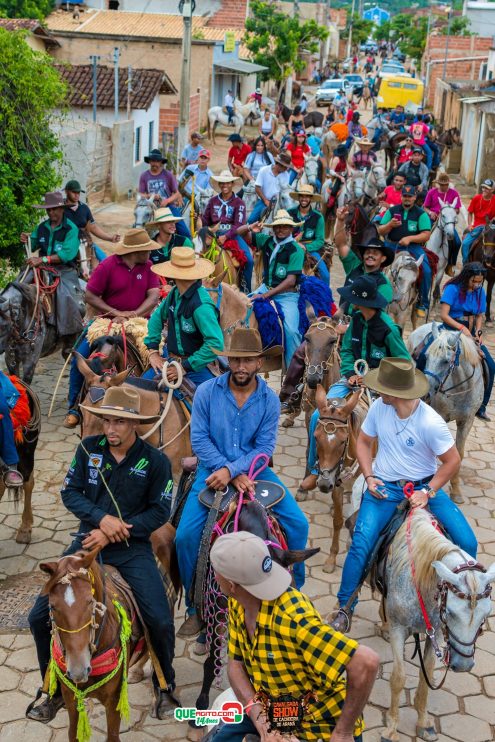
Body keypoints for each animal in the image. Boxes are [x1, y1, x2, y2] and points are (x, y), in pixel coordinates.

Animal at [382, 512, 494, 742]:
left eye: (486, 616)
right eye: (450, 612)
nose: (463, 665)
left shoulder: (436, 633)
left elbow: (426, 674)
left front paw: (424, 723)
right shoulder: (399, 629)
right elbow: (398, 678)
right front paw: (391, 727)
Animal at [406, 326, 484, 506]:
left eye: (445, 361)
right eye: (426, 357)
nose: (425, 394)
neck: (460, 388)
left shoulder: (467, 421)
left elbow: (458, 454)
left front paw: (456, 491)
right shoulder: (439, 418)